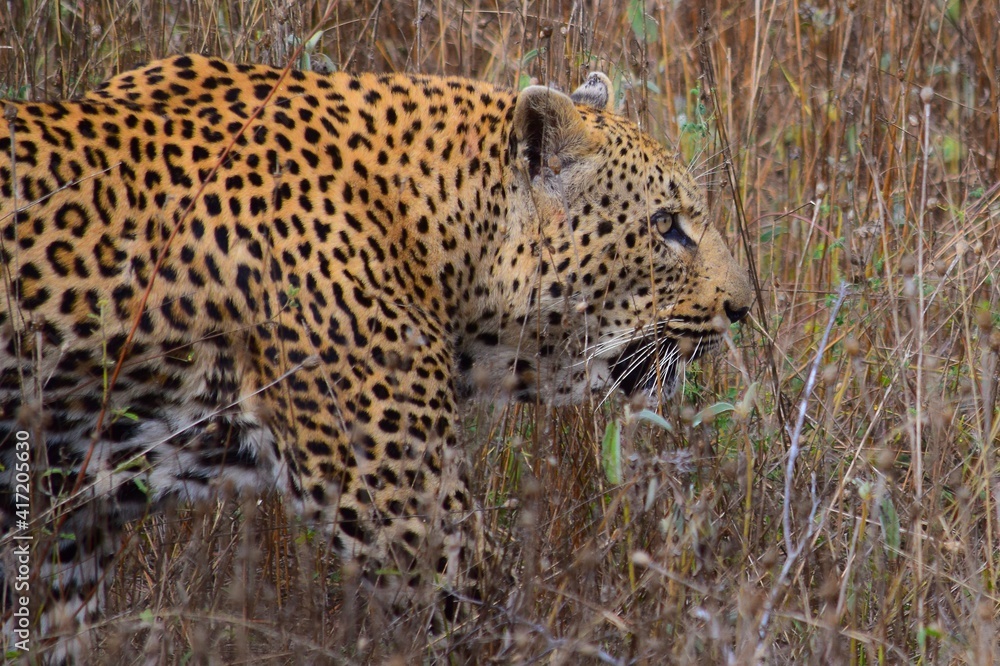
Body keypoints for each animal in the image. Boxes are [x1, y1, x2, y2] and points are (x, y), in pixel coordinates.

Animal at [0, 54, 752, 663]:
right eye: (665, 226)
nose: (744, 308)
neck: (438, 233)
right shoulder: (407, 517)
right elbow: (481, 628)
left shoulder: (77, 513)